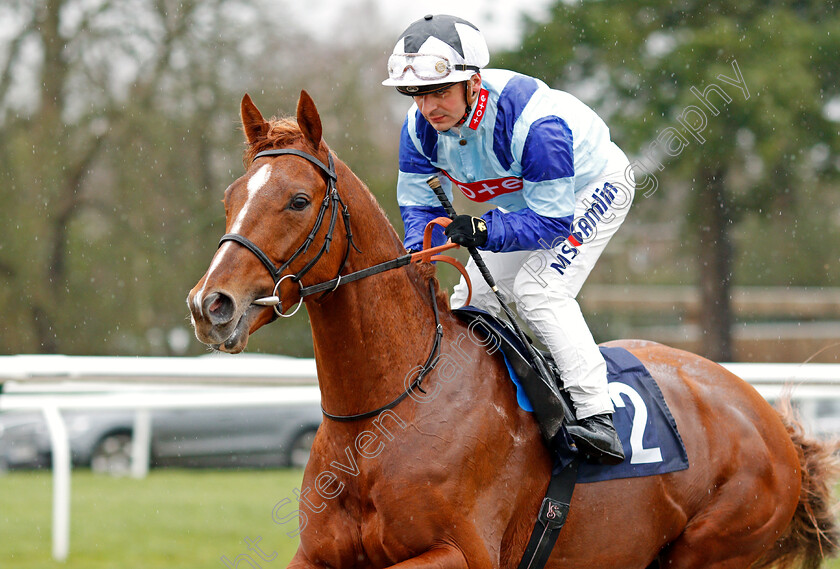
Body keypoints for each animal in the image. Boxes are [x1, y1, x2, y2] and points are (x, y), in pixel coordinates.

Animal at [189, 91, 840, 564]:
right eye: (229, 198)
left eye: (298, 200)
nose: (210, 304)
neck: (387, 411)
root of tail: (773, 427)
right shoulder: (319, 556)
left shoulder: (461, 553)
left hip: (716, 546)